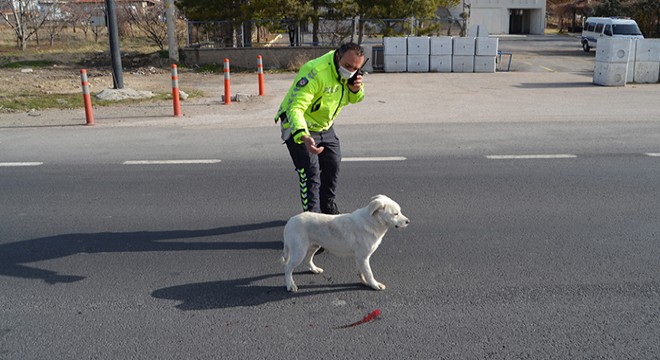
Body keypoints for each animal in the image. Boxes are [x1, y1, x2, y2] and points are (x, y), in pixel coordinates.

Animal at [282, 194, 410, 292]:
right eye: (395, 214)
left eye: (400, 212)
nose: (408, 221)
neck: (373, 222)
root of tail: (290, 222)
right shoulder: (363, 257)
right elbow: (369, 273)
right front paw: (374, 285)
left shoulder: (360, 257)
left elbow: (362, 272)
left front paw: (364, 282)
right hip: (299, 252)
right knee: (287, 268)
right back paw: (290, 285)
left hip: (314, 246)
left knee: (308, 259)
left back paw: (314, 269)